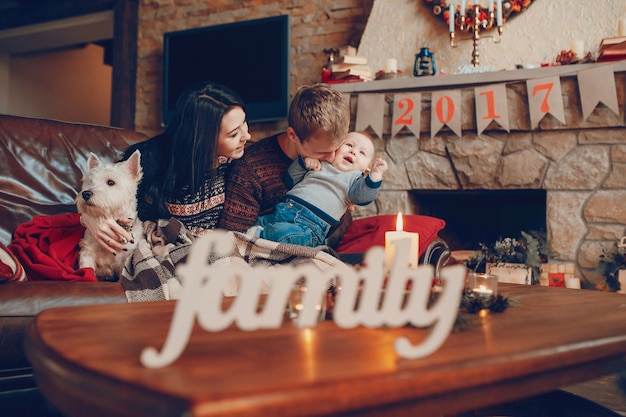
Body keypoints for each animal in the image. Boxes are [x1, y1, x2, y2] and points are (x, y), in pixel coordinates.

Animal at [76, 150, 142, 280]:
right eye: (90, 181)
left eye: (111, 182)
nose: (85, 194)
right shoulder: (88, 251)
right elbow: (87, 269)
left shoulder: (125, 261)